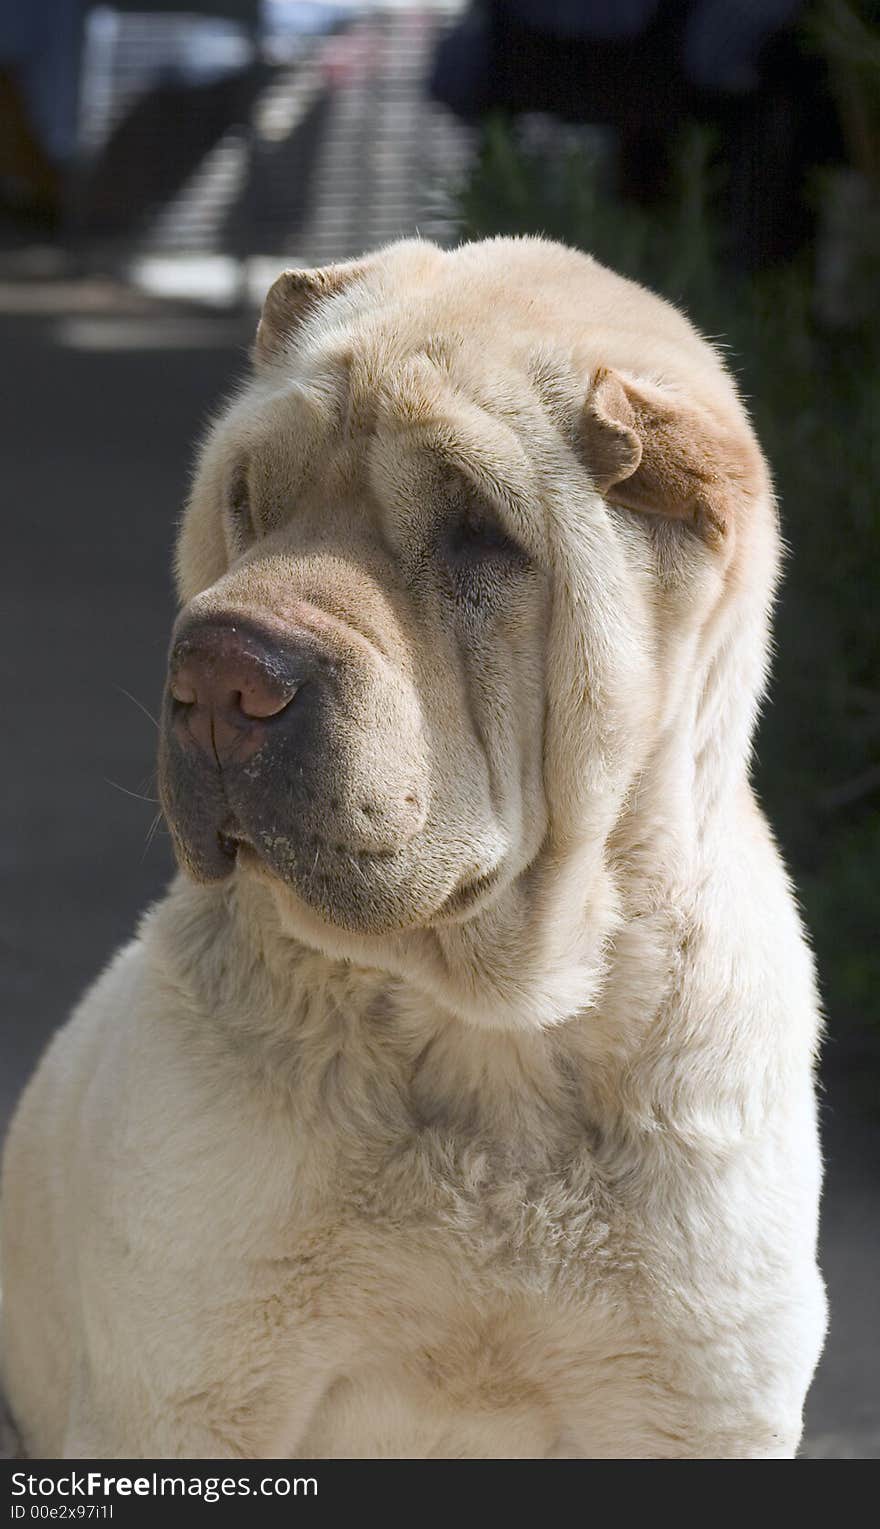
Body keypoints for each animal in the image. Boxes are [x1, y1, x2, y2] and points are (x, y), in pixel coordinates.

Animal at [0, 235, 825, 1455]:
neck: (492, 1037)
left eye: (476, 533)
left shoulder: (699, 1409)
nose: (220, 675)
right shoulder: (183, 1399)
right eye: (249, 499)